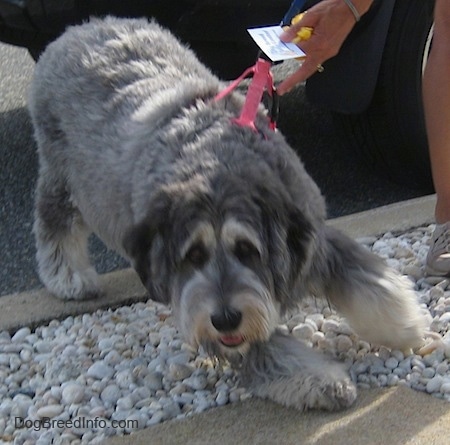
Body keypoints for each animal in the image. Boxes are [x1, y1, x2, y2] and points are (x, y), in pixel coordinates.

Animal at [29, 18, 428, 412]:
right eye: (193, 255)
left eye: (247, 250)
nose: (224, 319)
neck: (214, 164)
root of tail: (80, 28)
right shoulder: (198, 310)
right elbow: (270, 351)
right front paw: (323, 379)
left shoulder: (316, 241)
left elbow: (368, 282)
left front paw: (405, 325)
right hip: (61, 176)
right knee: (54, 221)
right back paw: (68, 276)